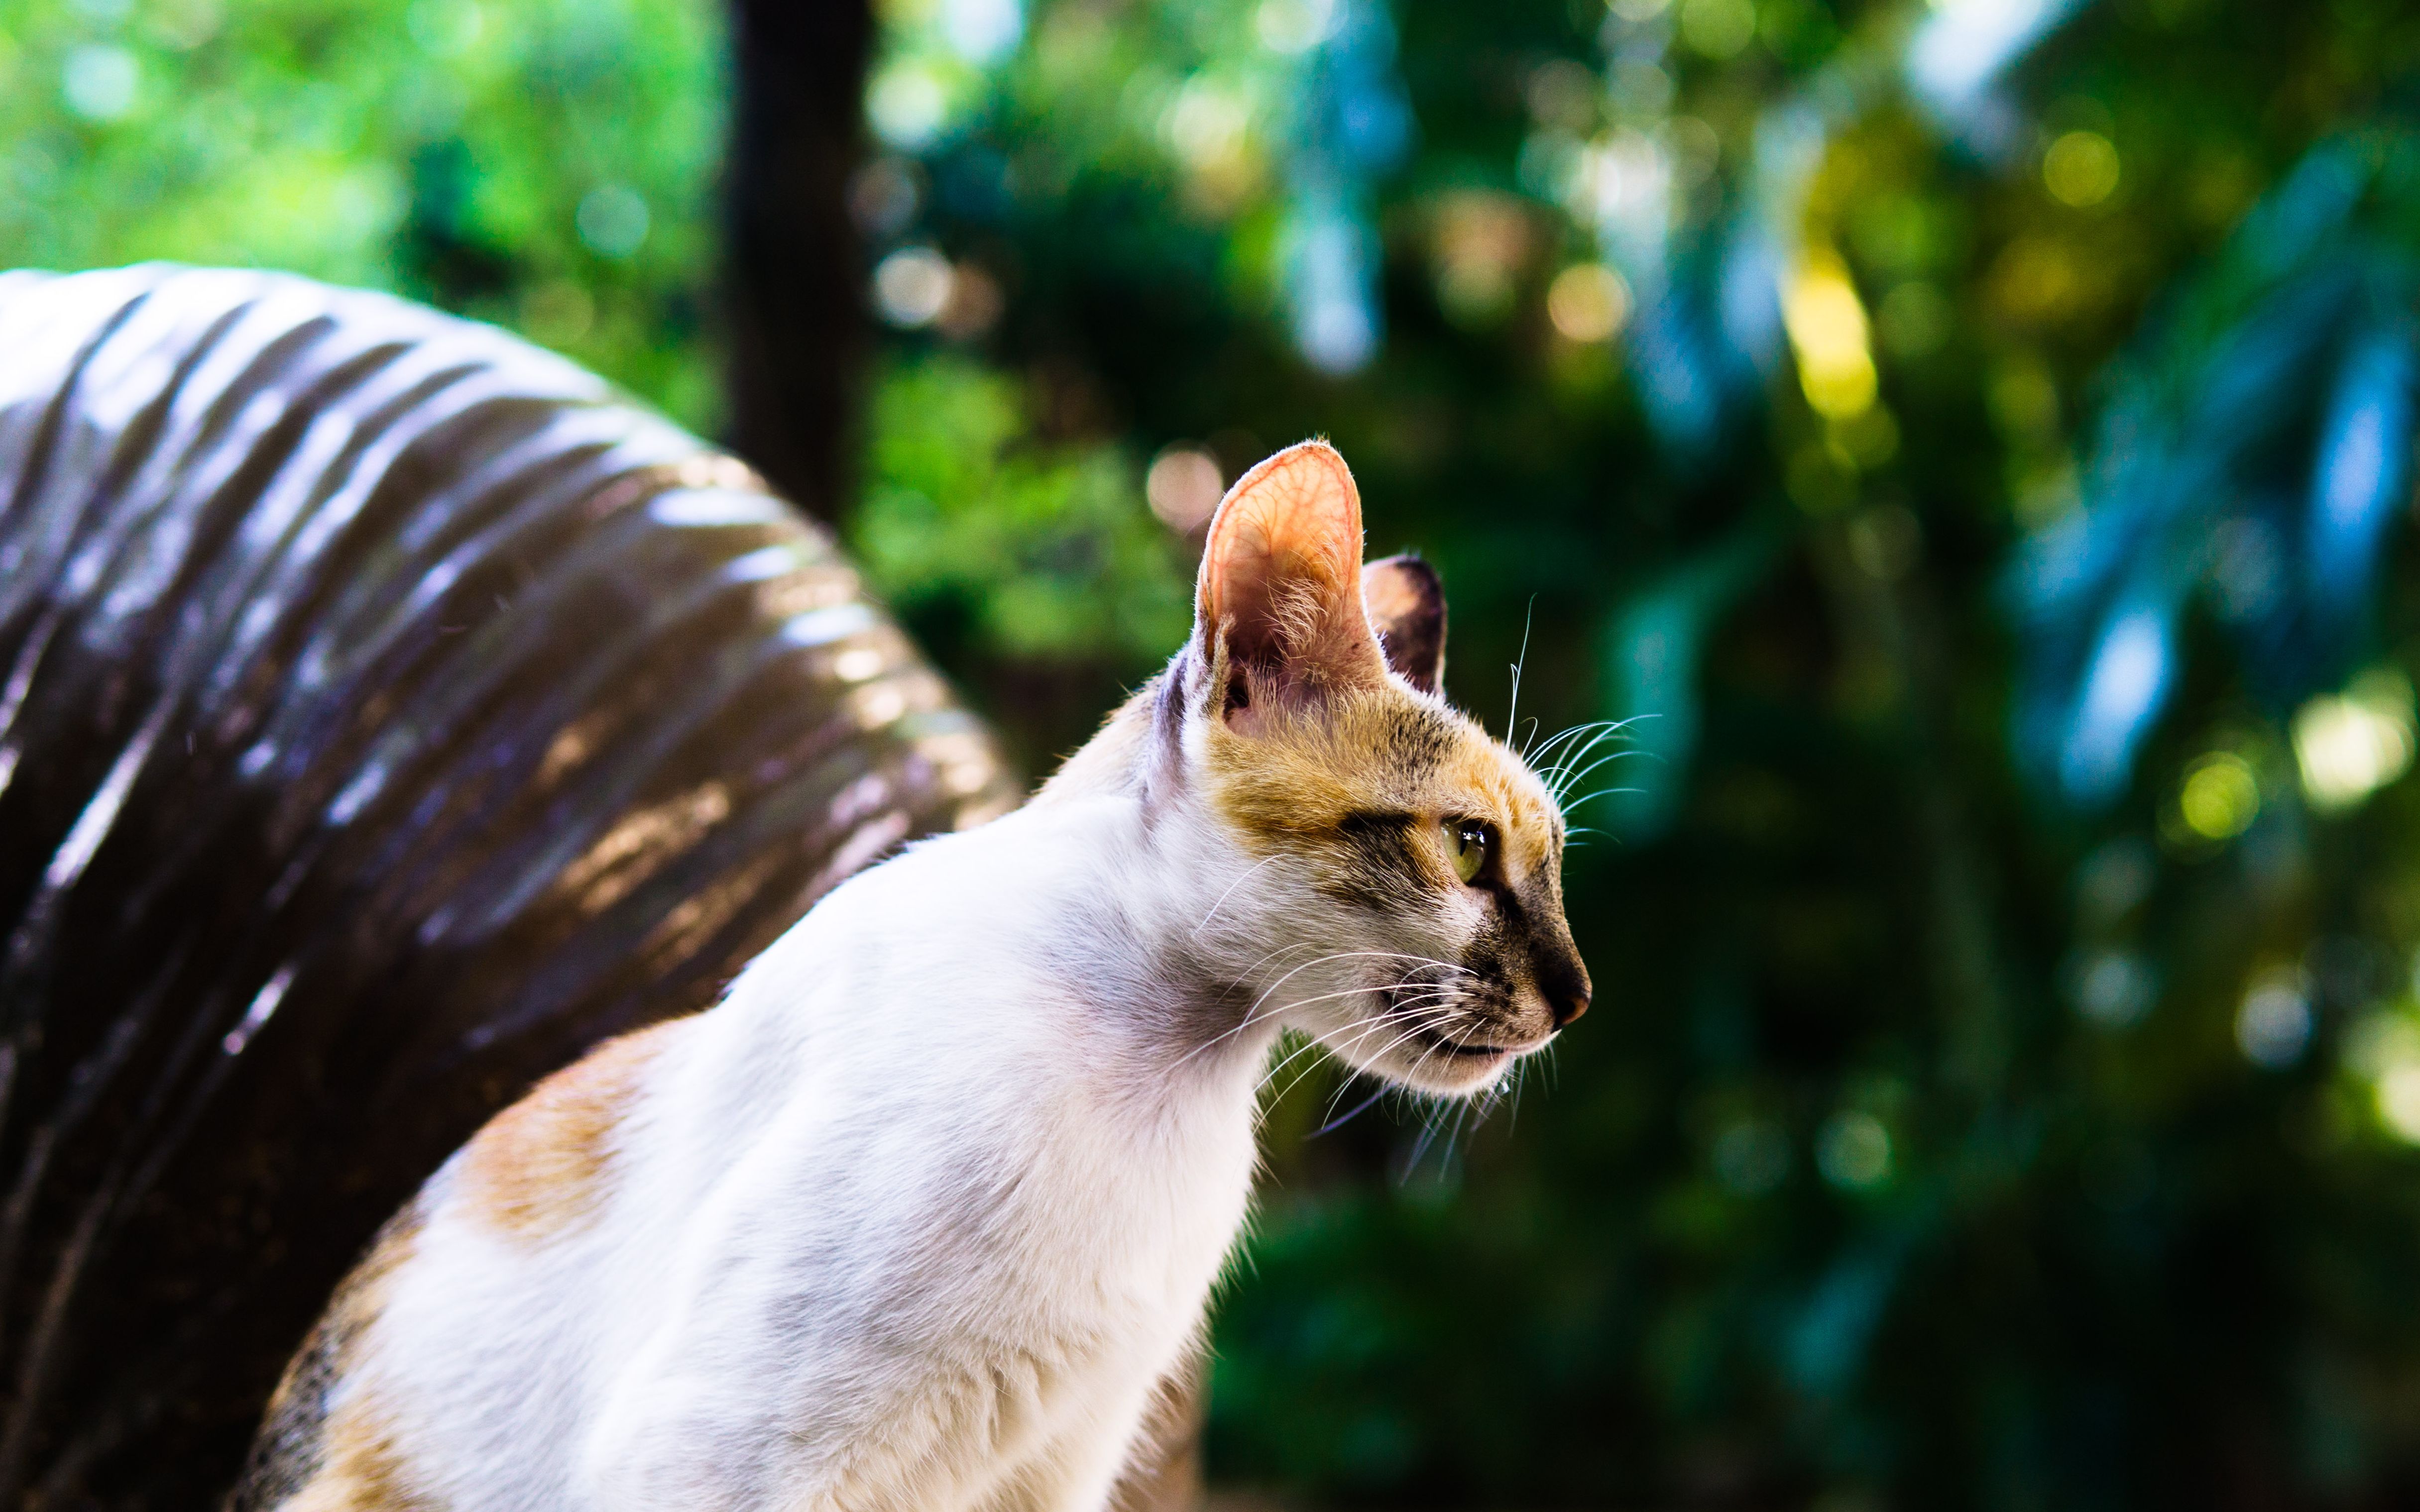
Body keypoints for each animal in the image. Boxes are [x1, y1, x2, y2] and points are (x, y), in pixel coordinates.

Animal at [227, 440, 1587, 1510]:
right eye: (1471, 848)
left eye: (1554, 863)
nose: (1577, 995)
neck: (1161, 1081)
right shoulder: (719, 1457)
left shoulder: (1051, 1473)